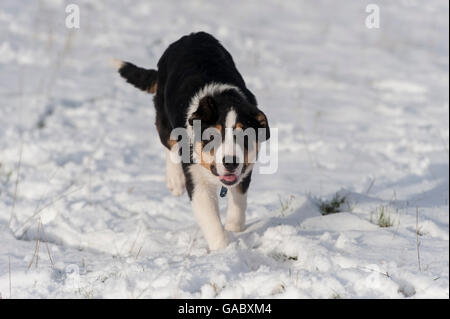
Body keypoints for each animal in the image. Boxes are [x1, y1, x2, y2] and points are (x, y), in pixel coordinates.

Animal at [116, 33, 270, 252]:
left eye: (244, 136)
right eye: (213, 137)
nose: (230, 162)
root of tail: (191, 35)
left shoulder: (244, 170)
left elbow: (238, 204)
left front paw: (235, 231)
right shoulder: (196, 178)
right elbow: (210, 219)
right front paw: (225, 251)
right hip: (162, 115)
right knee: (169, 143)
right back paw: (175, 181)